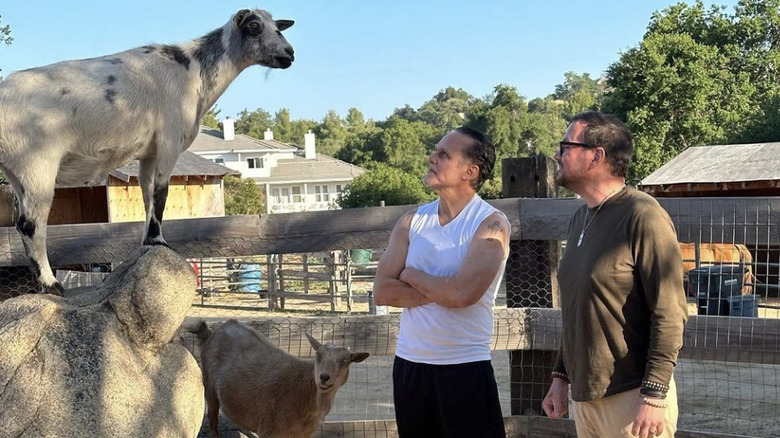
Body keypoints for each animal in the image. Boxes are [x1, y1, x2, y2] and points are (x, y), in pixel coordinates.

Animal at [0, 7, 296, 294]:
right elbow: (161, 193)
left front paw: (148, 242)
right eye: (254, 26)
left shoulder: (149, 153)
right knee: (30, 225)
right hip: (36, 164)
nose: (290, 53)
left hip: (17, 173)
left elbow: (147, 195)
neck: (194, 71)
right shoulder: (169, 141)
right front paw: (159, 241)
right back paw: (52, 284)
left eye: (278, 27)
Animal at [192, 318, 368, 438]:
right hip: (209, 387)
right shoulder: (270, 430)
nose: (324, 377)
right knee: (213, 418)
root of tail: (211, 333)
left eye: (345, 361)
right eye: (318, 355)